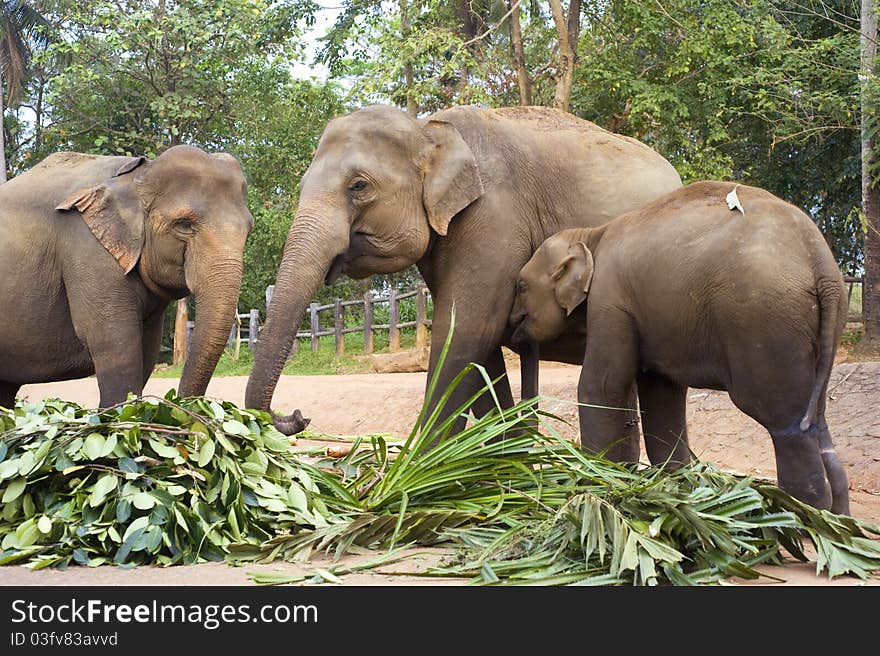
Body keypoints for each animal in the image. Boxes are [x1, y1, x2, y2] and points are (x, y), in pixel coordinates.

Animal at [0, 146, 254, 408]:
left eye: (249, 229)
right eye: (183, 225)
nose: (182, 404)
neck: (135, 174)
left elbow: (147, 350)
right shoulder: (89, 250)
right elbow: (114, 345)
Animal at [244, 104, 684, 440]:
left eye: (359, 186)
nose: (299, 416)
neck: (428, 129)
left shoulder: (494, 217)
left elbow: (466, 330)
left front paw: (417, 474)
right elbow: (480, 346)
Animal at [512, 182, 848, 516]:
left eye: (521, 286)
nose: (515, 328)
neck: (589, 235)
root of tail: (820, 261)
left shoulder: (610, 301)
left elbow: (602, 387)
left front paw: (595, 485)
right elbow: (661, 392)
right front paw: (672, 485)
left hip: (765, 324)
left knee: (782, 421)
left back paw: (802, 514)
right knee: (817, 423)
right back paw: (837, 518)